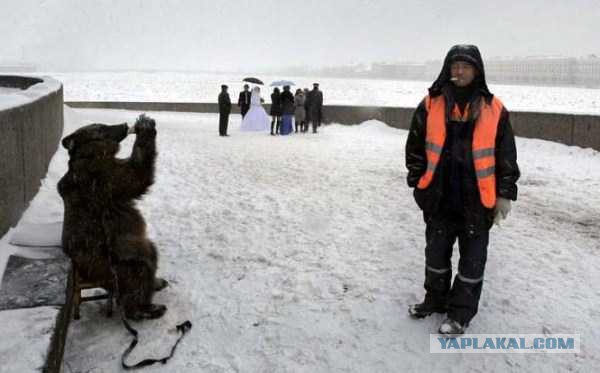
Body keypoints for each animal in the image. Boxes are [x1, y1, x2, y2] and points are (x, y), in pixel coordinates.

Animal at [58, 114, 168, 320]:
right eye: (101, 127)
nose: (124, 125)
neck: (89, 155)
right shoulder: (103, 178)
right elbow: (135, 175)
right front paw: (145, 127)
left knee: (151, 255)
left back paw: (156, 283)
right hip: (117, 262)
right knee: (139, 273)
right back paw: (146, 308)